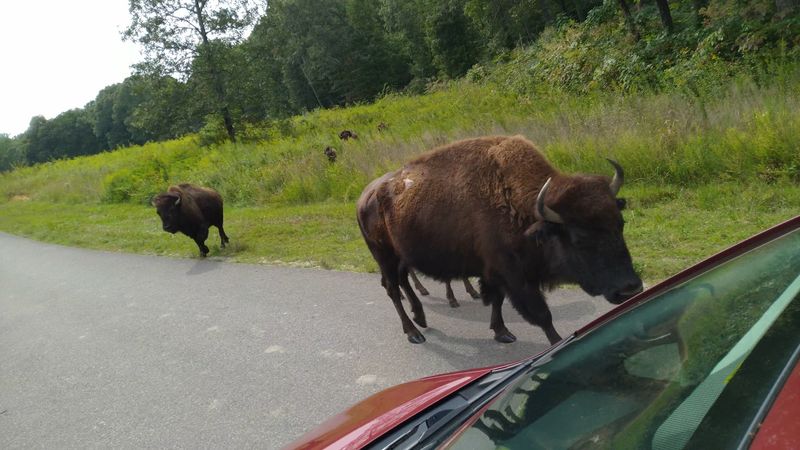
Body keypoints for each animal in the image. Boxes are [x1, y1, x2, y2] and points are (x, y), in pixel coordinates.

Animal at [356, 135, 642, 344]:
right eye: (579, 238)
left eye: (620, 224)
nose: (630, 288)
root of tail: (366, 196)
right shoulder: (514, 276)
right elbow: (542, 315)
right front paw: (556, 343)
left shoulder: (495, 273)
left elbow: (497, 300)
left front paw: (502, 332)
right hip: (384, 256)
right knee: (392, 288)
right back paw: (414, 333)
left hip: (401, 256)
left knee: (403, 281)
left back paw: (421, 317)